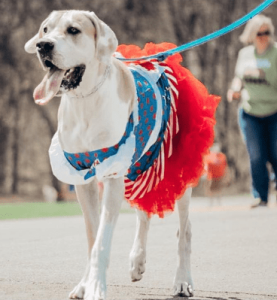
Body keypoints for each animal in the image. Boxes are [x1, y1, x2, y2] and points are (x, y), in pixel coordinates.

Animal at [24, 9, 216, 300]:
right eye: (45, 29)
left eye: (73, 30)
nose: (43, 46)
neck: (85, 102)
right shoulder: (83, 179)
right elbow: (92, 236)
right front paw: (85, 283)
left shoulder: (112, 174)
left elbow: (102, 240)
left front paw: (96, 287)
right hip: (138, 169)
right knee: (144, 214)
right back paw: (137, 261)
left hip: (178, 167)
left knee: (185, 230)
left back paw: (182, 280)